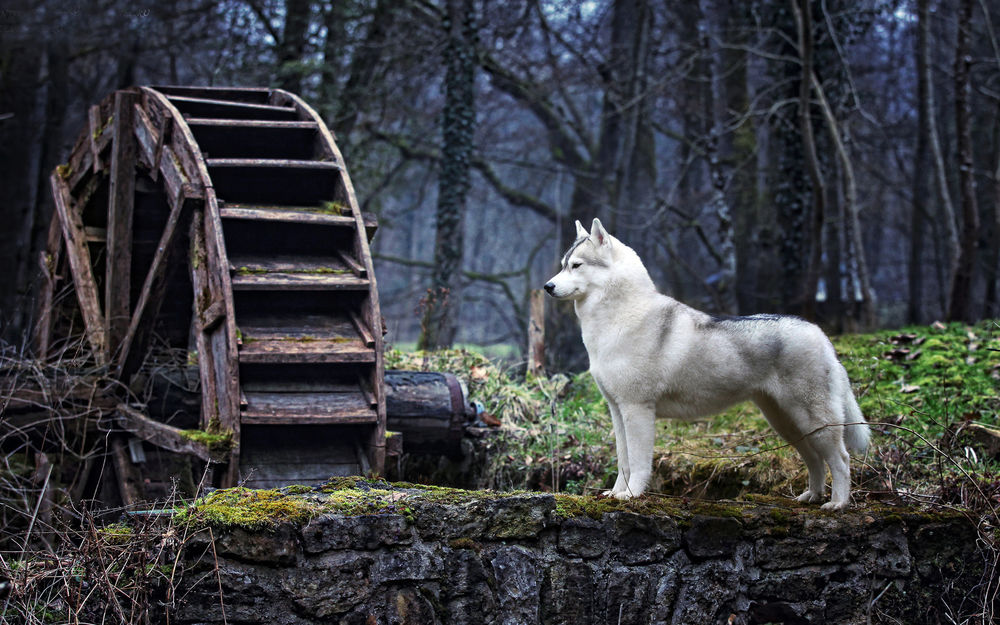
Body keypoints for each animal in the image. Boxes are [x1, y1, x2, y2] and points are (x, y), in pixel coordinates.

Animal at [544, 219, 870, 510]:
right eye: (562, 264)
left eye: (576, 265)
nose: (547, 286)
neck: (618, 317)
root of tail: (820, 333)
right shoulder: (617, 410)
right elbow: (623, 460)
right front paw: (616, 494)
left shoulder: (637, 409)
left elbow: (637, 463)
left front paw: (632, 495)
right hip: (786, 423)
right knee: (814, 460)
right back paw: (811, 497)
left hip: (813, 420)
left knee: (841, 459)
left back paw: (837, 504)